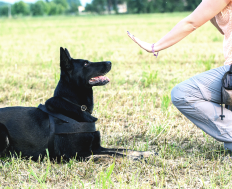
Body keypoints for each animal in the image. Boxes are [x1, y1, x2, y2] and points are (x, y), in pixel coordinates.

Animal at [0, 47, 153, 161]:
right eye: (85, 64)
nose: (109, 62)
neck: (75, 105)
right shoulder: (77, 154)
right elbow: (114, 154)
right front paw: (135, 158)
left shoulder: (96, 147)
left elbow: (123, 149)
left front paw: (145, 153)